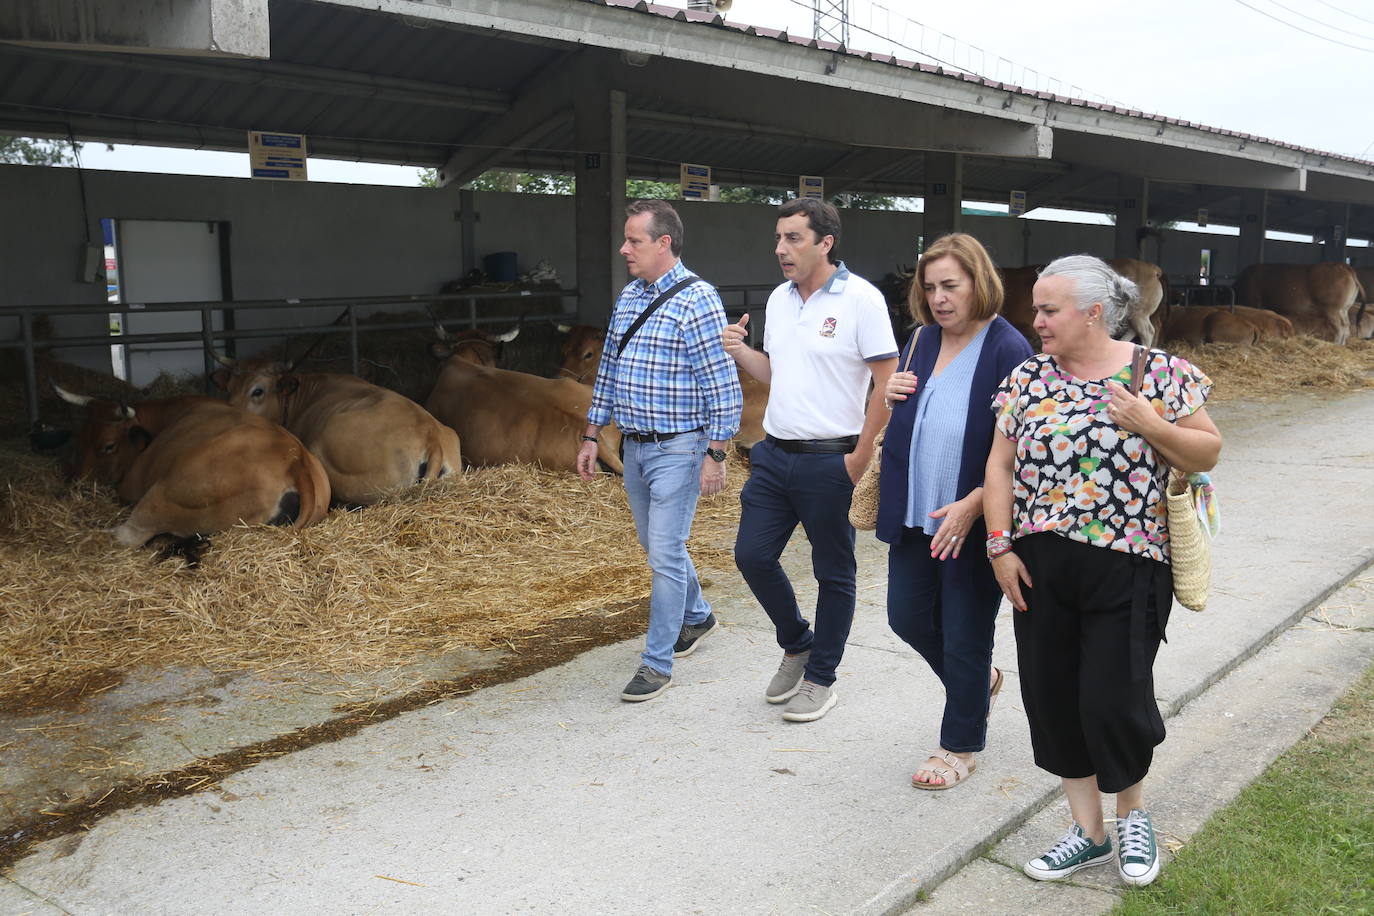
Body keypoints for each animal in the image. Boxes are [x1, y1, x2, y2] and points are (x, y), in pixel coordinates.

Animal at [54, 390, 335, 549]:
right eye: (80, 438)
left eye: (109, 446)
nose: (77, 483)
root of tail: (295, 458)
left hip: (163, 495)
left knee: (128, 535)